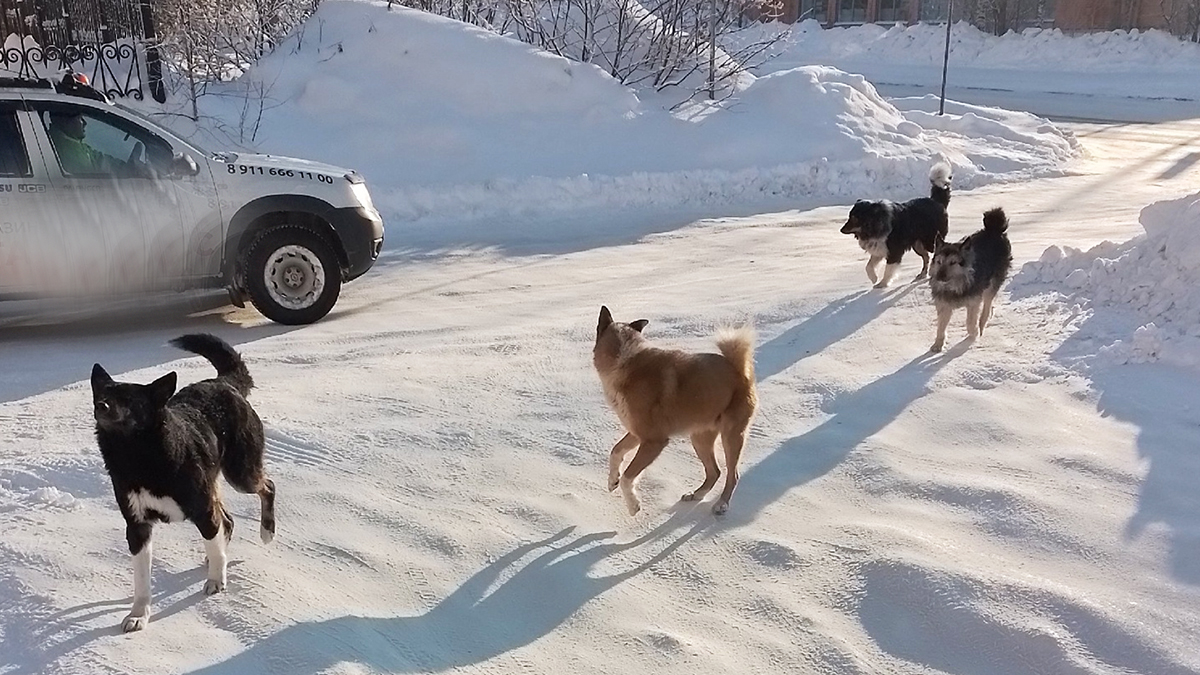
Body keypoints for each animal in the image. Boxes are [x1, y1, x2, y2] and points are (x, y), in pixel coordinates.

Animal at [89, 331, 276, 629]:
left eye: (130, 400)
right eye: (103, 394)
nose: (101, 406)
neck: (140, 458)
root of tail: (224, 382)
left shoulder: (202, 509)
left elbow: (214, 541)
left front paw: (216, 580)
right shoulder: (137, 526)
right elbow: (141, 580)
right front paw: (138, 614)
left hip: (240, 473)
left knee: (267, 487)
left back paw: (266, 532)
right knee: (227, 520)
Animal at [592, 305, 758, 514]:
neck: (625, 361)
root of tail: (739, 371)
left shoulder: (654, 441)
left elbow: (629, 476)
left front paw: (633, 505)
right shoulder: (637, 433)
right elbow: (615, 451)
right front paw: (612, 480)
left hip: (731, 435)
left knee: (732, 475)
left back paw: (722, 504)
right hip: (700, 438)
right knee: (714, 471)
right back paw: (697, 494)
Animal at [926, 205, 1012, 353]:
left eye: (953, 263)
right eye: (939, 262)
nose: (939, 277)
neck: (955, 285)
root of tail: (993, 229)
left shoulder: (973, 301)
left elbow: (970, 321)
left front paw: (973, 334)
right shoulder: (944, 304)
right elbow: (941, 327)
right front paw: (938, 344)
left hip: (993, 282)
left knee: (987, 303)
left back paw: (982, 324)